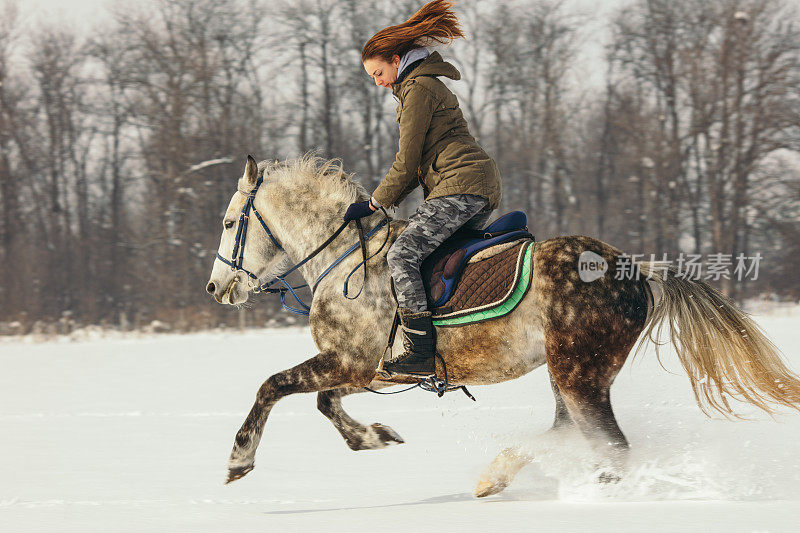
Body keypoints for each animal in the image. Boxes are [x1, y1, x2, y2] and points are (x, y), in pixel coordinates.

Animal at [205, 153, 800, 494]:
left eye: (231, 223)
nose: (216, 289)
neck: (345, 259)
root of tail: (635, 271)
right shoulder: (365, 371)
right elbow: (326, 404)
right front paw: (376, 436)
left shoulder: (349, 362)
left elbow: (273, 387)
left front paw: (238, 458)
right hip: (572, 374)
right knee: (568, 432)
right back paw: (497, 475)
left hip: (579, 373)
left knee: (608, 445)